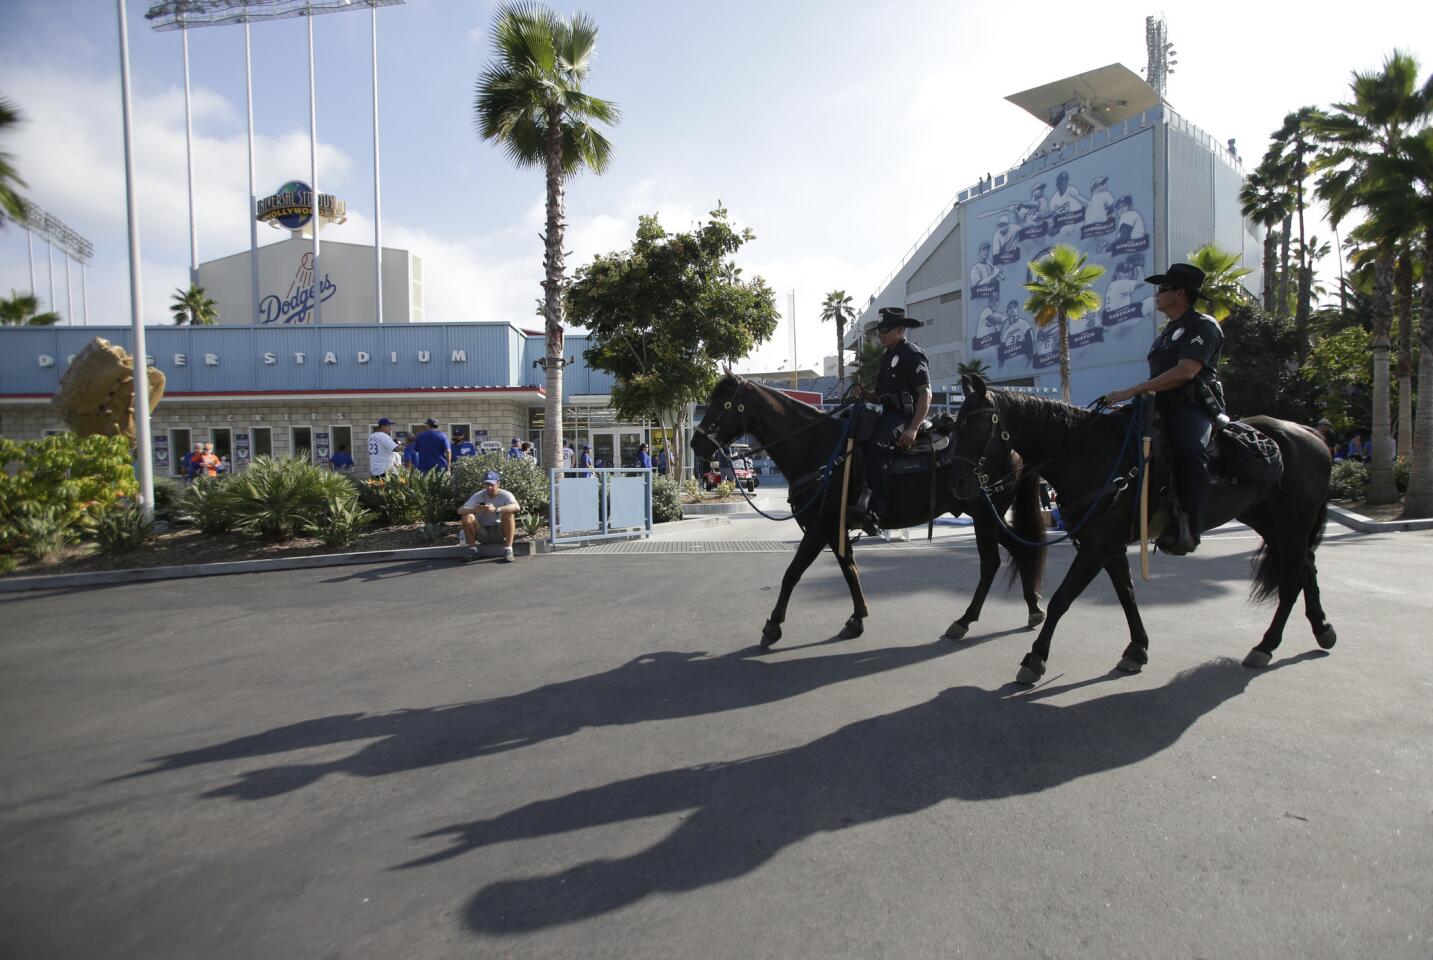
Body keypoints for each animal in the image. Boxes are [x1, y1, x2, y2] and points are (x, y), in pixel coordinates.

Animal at [687, 372, 1048, 650]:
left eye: (722, 404)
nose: (695, 444)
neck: (818, 447)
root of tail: (1014, 446)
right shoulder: (834, 528)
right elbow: (850, 569)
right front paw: (857, 618)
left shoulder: (820, 526)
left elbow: (793, 572)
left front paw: (773, 625)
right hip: (989, 515)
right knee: (1018, 550)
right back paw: (1033, 609)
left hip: (985, 514)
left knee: (991, 563)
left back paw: (965, 620)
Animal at [945, 375, 1335, 684]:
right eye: (954, 424)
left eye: (975, 424)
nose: (959, 481)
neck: (1089, 453)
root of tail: (1312, 433)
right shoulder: (1107, 544)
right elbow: (1126, 593)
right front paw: (1137, 649)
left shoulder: (1098, 545)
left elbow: (1061, 599)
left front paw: (1036, 658)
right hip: (1269, 521)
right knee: (1305, 567)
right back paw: (1320, 630)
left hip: (1292, 522)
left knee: (1293, 577)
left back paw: (1267, 644)